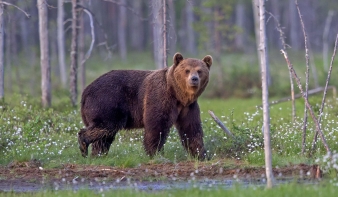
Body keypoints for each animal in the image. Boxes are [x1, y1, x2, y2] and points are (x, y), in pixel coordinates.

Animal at [78, 52, 213, 160]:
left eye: (199, 71)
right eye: (187, 70)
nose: (194, 79)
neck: (178, 94)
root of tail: (85, 91)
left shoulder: (188, 107)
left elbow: (191, 129)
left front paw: (200, 154)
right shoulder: (160, 97)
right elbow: (157, 125)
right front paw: (156, 153)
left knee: (104, 137)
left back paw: (98, 154)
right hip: (107, 101)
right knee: (106, 125)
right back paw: (84, 144)